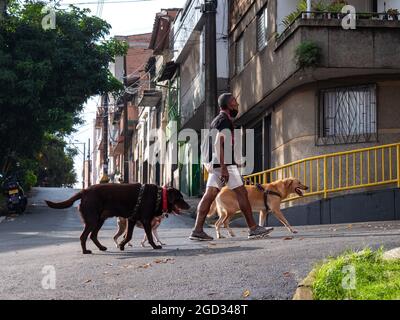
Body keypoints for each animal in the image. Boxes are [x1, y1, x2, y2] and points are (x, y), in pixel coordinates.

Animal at [46, 182, 190, 255]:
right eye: (180, 198)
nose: (189, 206)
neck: (160, 196)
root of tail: (85, 191)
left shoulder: (132, 220)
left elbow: (129, 235)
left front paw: (121, 245)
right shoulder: (145, 220)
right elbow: (149, 236)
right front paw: (155, 246)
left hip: (100, 219)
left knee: (93, 235)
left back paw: (101, 247)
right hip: (92, 220)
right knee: (83, 236)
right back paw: (85, 251)